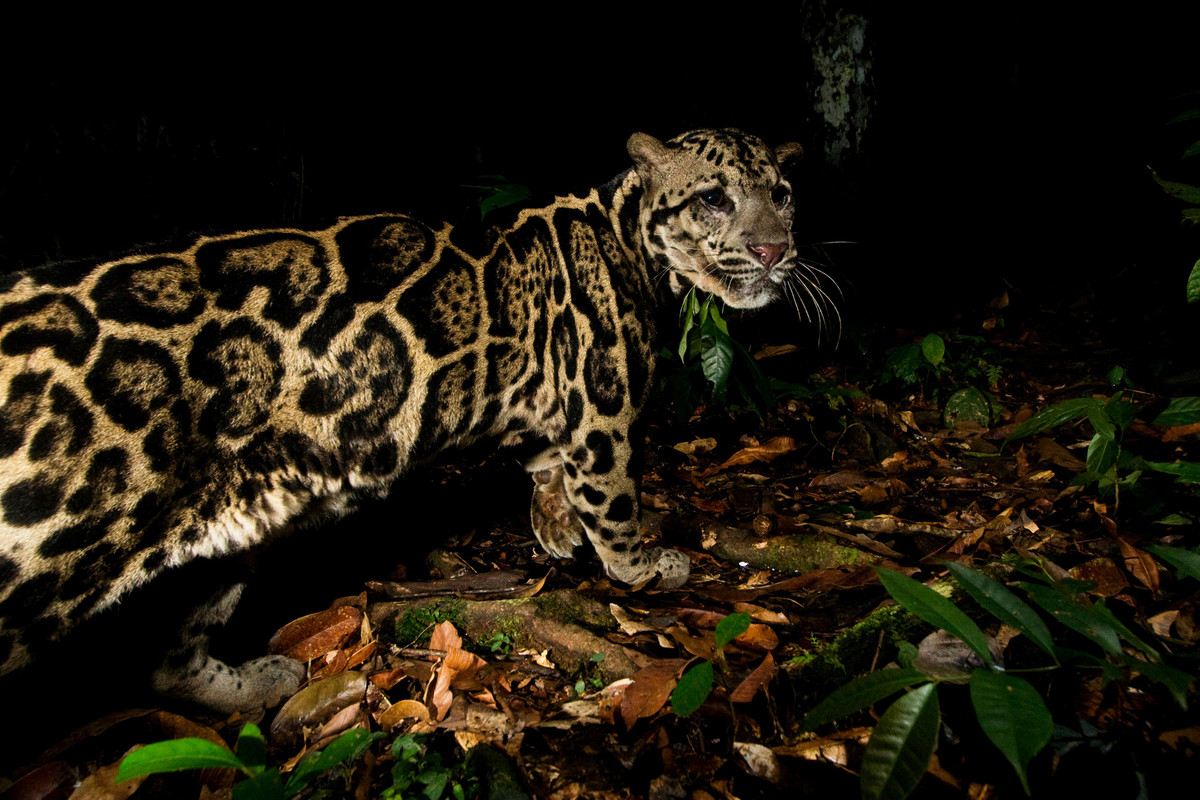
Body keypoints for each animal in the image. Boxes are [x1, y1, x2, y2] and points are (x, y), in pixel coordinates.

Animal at [0, 128, 806, 714]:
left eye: (784, 195)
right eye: (714, 199)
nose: (775, 249)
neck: (632, 240)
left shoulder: (546, 402)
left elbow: (547, 465)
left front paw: (553, 525)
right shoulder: (601, 411)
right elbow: (613, 504)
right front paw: (641, 565)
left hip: (228, 525)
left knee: (168, 657)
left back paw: (254, 682)